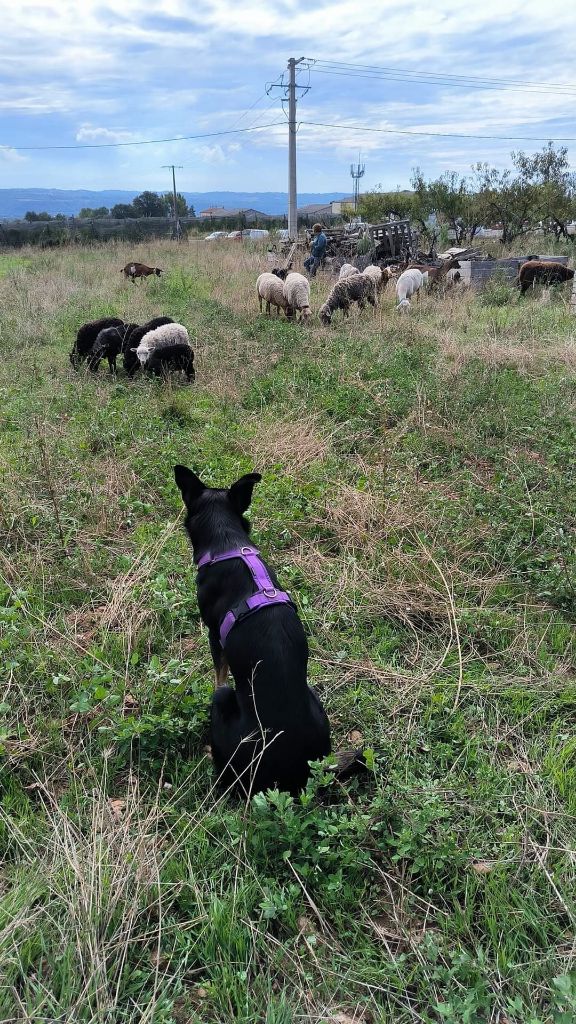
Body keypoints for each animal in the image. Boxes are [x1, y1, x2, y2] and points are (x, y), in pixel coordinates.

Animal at [172, 468, 330, 794]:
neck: (227, 544)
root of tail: (292, 779)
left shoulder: (214, 636)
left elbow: (219, 673)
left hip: (223, 705)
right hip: (314, 698)